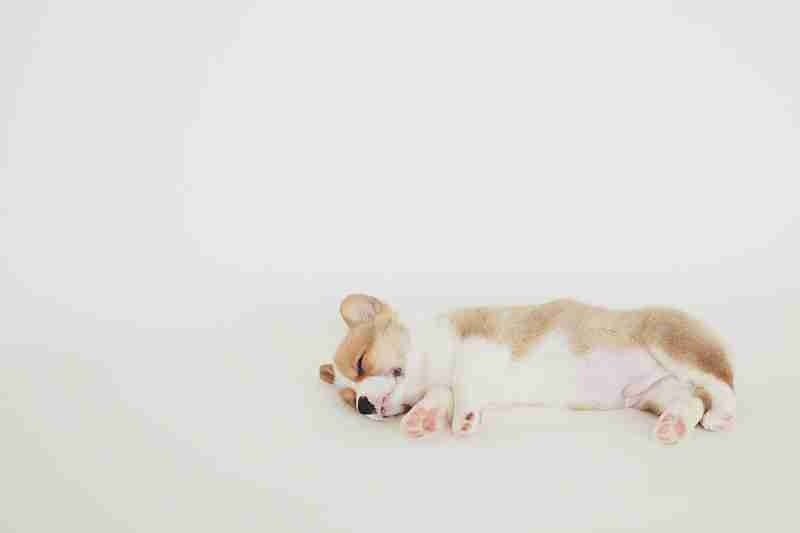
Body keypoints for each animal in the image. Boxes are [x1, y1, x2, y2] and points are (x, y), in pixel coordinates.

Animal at [319, 294, 735, 443]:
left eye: (360, 362)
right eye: (349, 399)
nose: (364, 406)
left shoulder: (481, 341)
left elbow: (462, 381)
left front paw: (462, 419)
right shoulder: (440, 386)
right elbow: (438, 395)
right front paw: (422, 418)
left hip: (672, 344)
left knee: (722, 383)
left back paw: (722, 415)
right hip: (657, 392)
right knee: (691, 401)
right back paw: (674, 425)